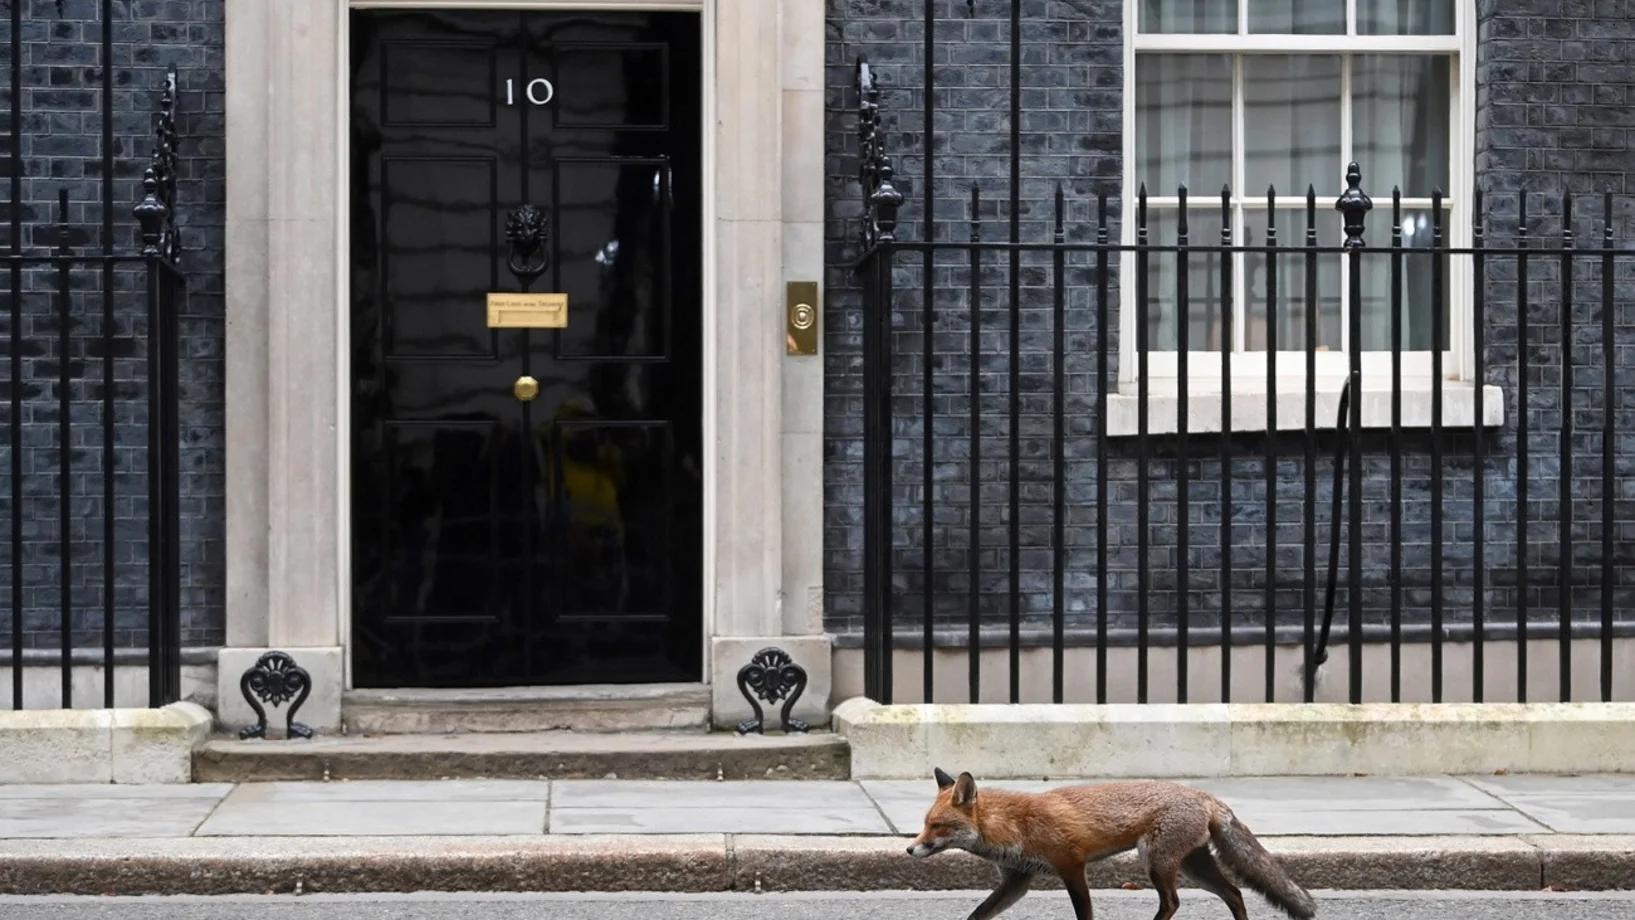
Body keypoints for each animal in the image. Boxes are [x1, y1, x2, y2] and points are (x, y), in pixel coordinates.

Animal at [907, 768, 1316, 920]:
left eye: (936, 826)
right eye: (924, 825)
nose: (910, 850)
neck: (1014, 825)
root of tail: (1203, 795)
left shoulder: (1072, 867)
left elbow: (1084, 914)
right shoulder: (1016, 881)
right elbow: (978, 914)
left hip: (1157, 862)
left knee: (1173, 902)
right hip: (1192, 865)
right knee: (1234, 892)